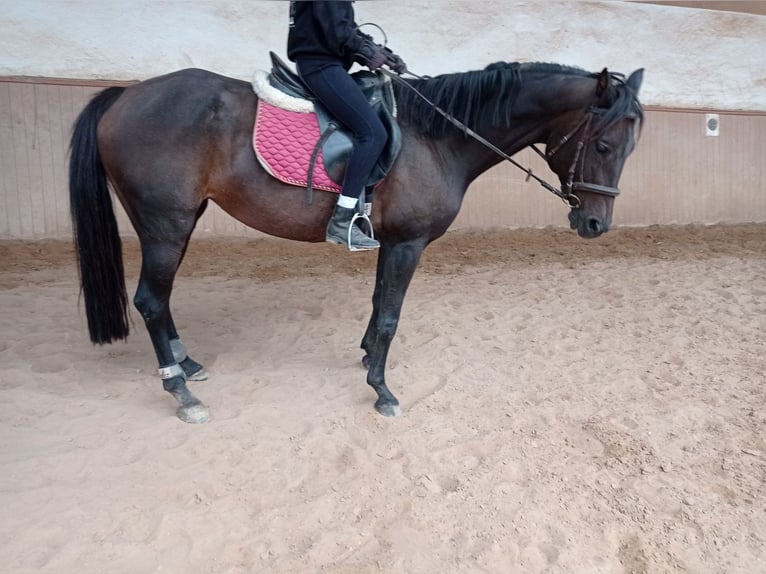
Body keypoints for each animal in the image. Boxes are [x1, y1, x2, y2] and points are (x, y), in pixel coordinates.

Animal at [69, 60, 644, 423]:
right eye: (604, 145)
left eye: (630, 149)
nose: (596, 225)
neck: (436, 136)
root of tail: (126, 94)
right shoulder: (409, 243)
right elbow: (390, 315)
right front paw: (382, 391)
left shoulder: (390, 242)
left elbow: (376, 304)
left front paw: (368, 360)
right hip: (165, 224)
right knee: (150, 299)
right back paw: (180, 391)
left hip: (177, 222)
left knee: (161, 301)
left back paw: (187, 364)